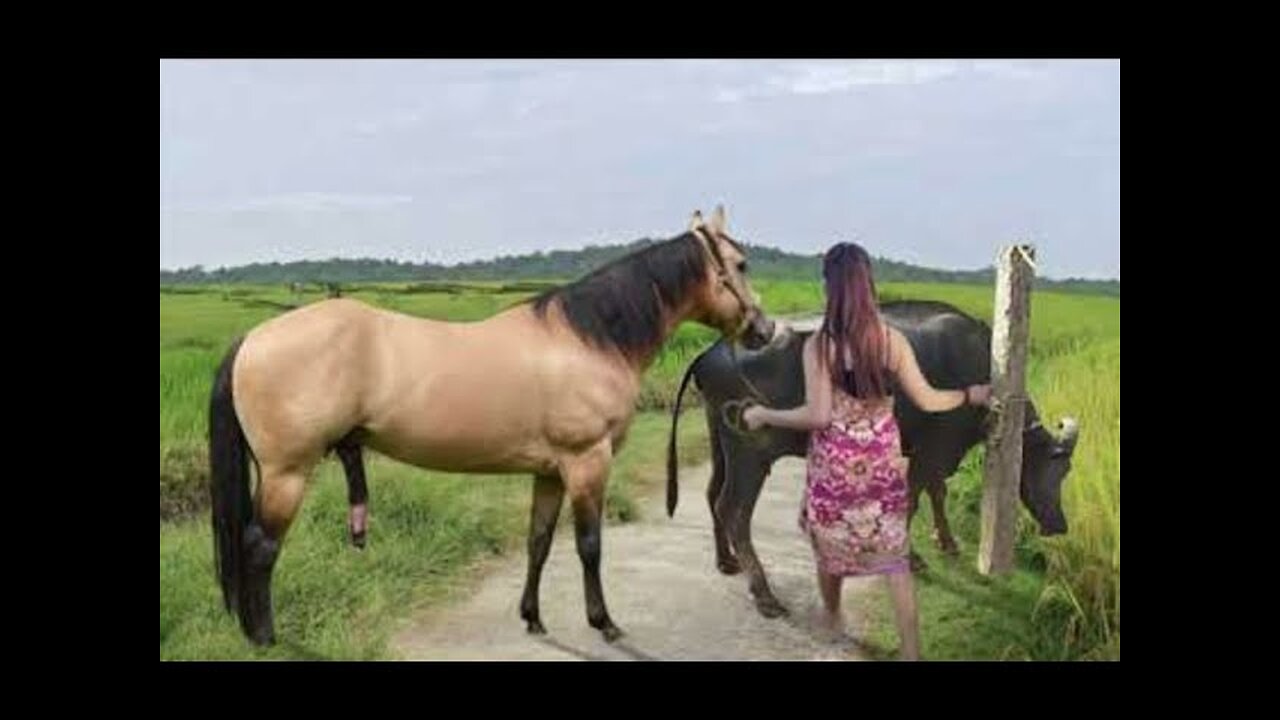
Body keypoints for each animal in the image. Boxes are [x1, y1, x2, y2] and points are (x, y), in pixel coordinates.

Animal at [207, 204, 778, 640]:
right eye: (742, 264)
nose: (765, 330)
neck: (588, 340)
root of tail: (252, 338)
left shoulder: (550, 471)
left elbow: (539, 541)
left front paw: (532, 617)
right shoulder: (587, 463)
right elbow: (589, 546)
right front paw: (604, 623)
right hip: (287, 472)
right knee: (260, 547)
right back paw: (264, 637)